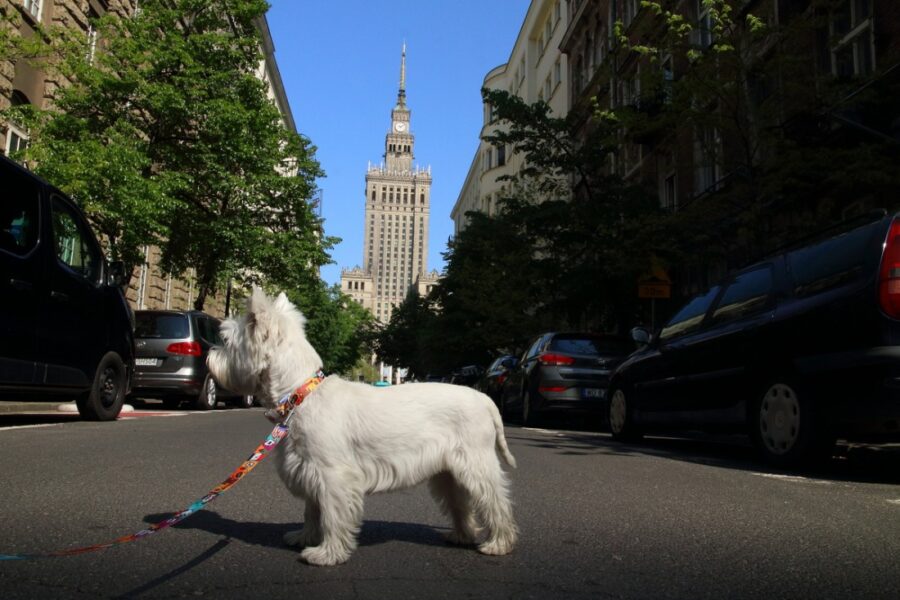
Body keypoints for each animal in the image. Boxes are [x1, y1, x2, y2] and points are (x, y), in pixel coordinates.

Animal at [207, 288, 516, 564]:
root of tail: (484, 399)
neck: (300, 394)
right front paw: (304, 537)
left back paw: (498, 544)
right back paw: (461, 536)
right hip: (448, 473)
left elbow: (331, 515)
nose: (209, 356)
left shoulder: (333, 475)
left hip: (476, 464)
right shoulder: (310, 470)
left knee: (496, 502)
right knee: (462, 504)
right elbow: (311, 511)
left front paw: (326, 554)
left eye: (226, 340)